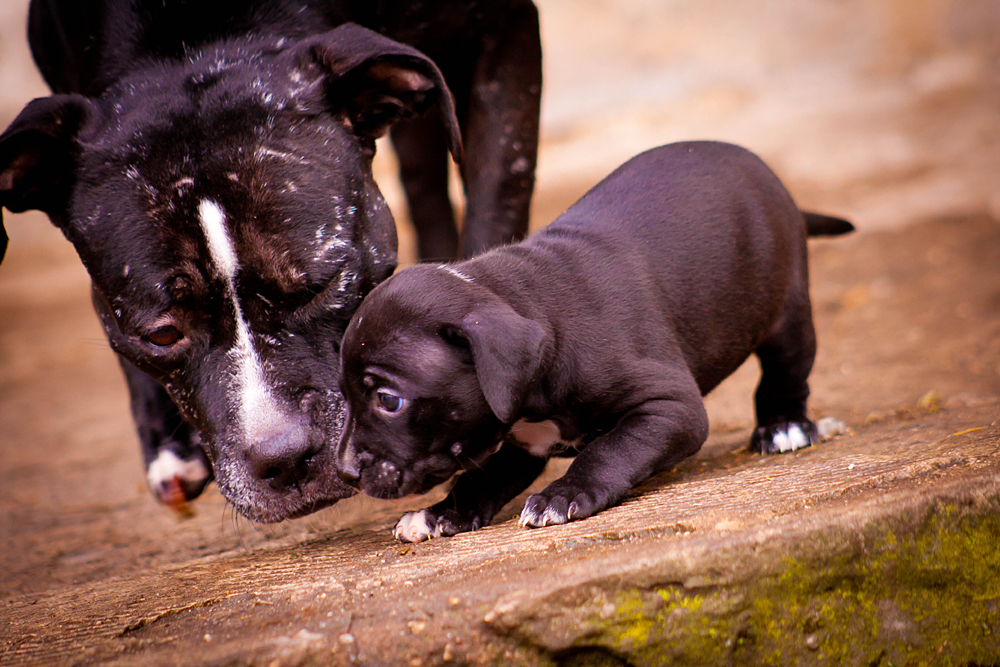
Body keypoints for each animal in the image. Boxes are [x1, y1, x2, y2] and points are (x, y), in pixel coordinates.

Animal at [0, 0, 540, 520]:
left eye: (323, 285)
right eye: (162, 334)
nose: (285, 458)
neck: (193, 41)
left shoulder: (502, 35)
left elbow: (493, 211)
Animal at [334, 141, 852, 544]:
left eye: (388, 400)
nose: (344, 471)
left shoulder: (670, 408)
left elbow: (609, 450)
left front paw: (563, 495)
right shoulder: (520, 441)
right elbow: (485, 478)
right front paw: (441, 513)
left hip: (787, 311)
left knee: (785, 372)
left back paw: (784, 426)